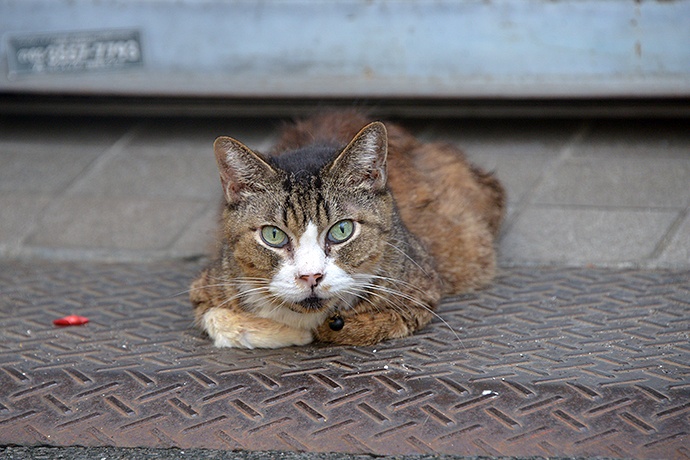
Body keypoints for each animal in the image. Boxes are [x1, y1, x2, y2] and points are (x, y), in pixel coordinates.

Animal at [191, 111, 502, 348]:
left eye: (342, 230)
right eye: (273, 235)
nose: (311, 276)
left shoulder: (423, 289)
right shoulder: (209, 284)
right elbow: (216, 318)